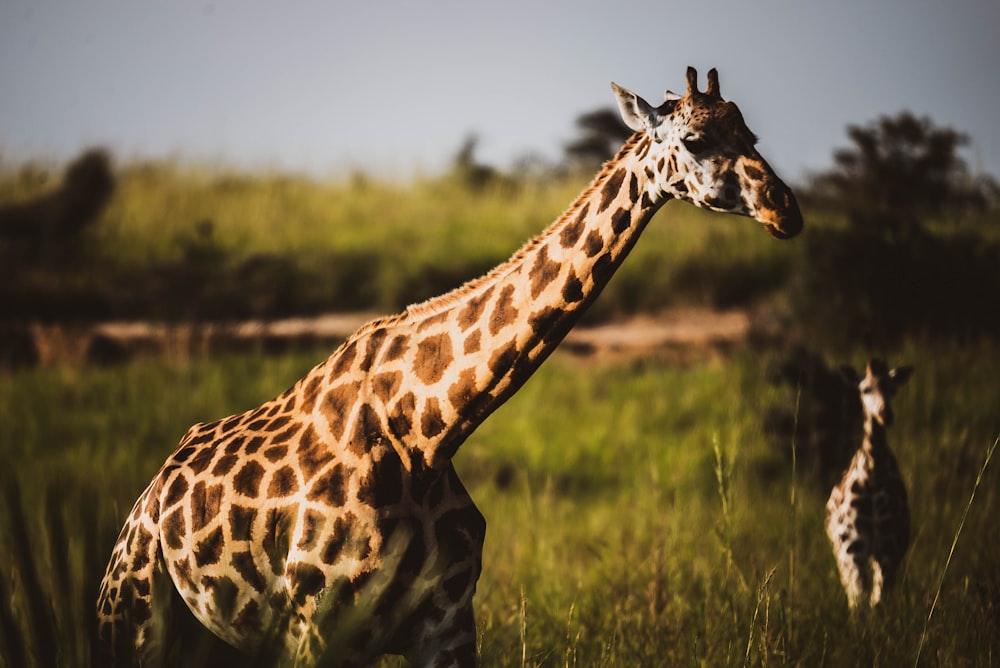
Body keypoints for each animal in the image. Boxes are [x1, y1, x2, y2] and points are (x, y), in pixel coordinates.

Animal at [99, 66, 804, 664]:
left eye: (750, 133)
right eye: (695, 138)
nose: (786, 209)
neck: (429, 433)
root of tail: (147, 500)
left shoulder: (448, 626)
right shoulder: (314, 628)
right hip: (133, 620)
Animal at [824, 360, 912, 612]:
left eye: (893, 389)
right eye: (865, 389)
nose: (885, 414)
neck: (874, 471)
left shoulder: (890, 544)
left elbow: (878, 599)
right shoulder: (853, 544)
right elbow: (860, 597)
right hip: (846, 552)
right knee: (855, 593)